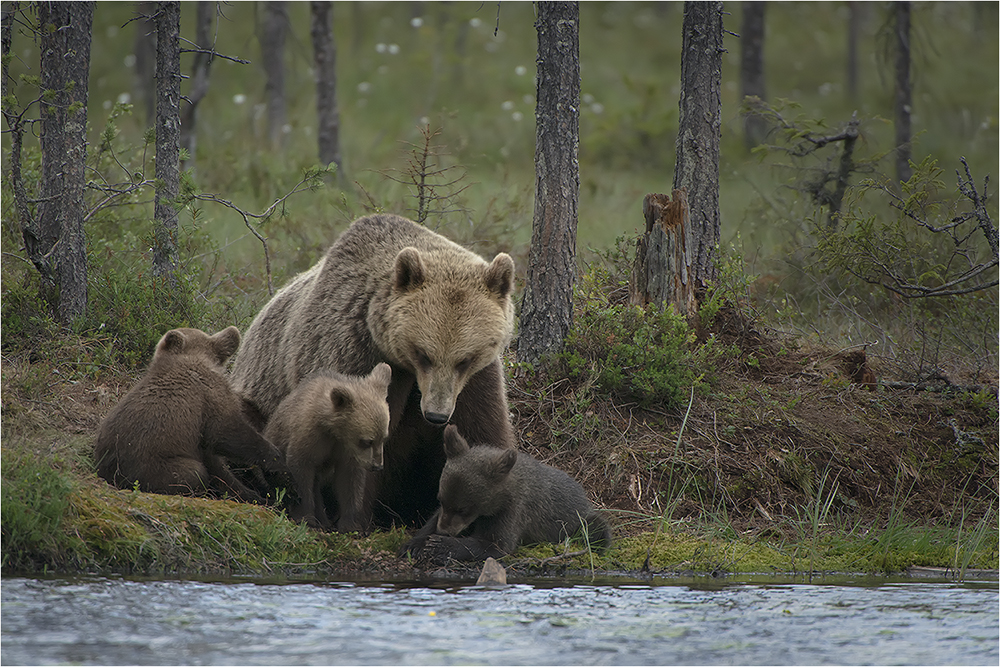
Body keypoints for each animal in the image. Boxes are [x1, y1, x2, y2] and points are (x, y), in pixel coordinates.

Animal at [231, 214, 520, 528]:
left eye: (464, 360)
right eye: (423, 354)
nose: (436, 415)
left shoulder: (474, 382)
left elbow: (482, 430)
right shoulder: (353, 352)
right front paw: (355, 518)